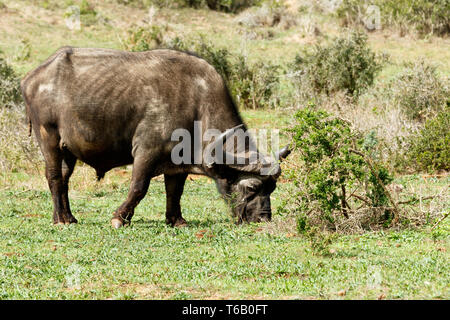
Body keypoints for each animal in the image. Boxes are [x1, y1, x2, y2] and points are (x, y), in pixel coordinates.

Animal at [21, 47, 290, 228]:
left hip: (68, 149)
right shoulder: (146, 151)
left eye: (272, 187)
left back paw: (68, 217)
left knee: (64, 178)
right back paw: (60, 220)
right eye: (252, 187)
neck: (197, 105)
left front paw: (176, 219)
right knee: (54, 177)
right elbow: (139, 187)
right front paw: (119, 218)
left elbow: (175, 191)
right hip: (49, 138)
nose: (263, 219)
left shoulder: (179, 164)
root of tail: (31, 78)